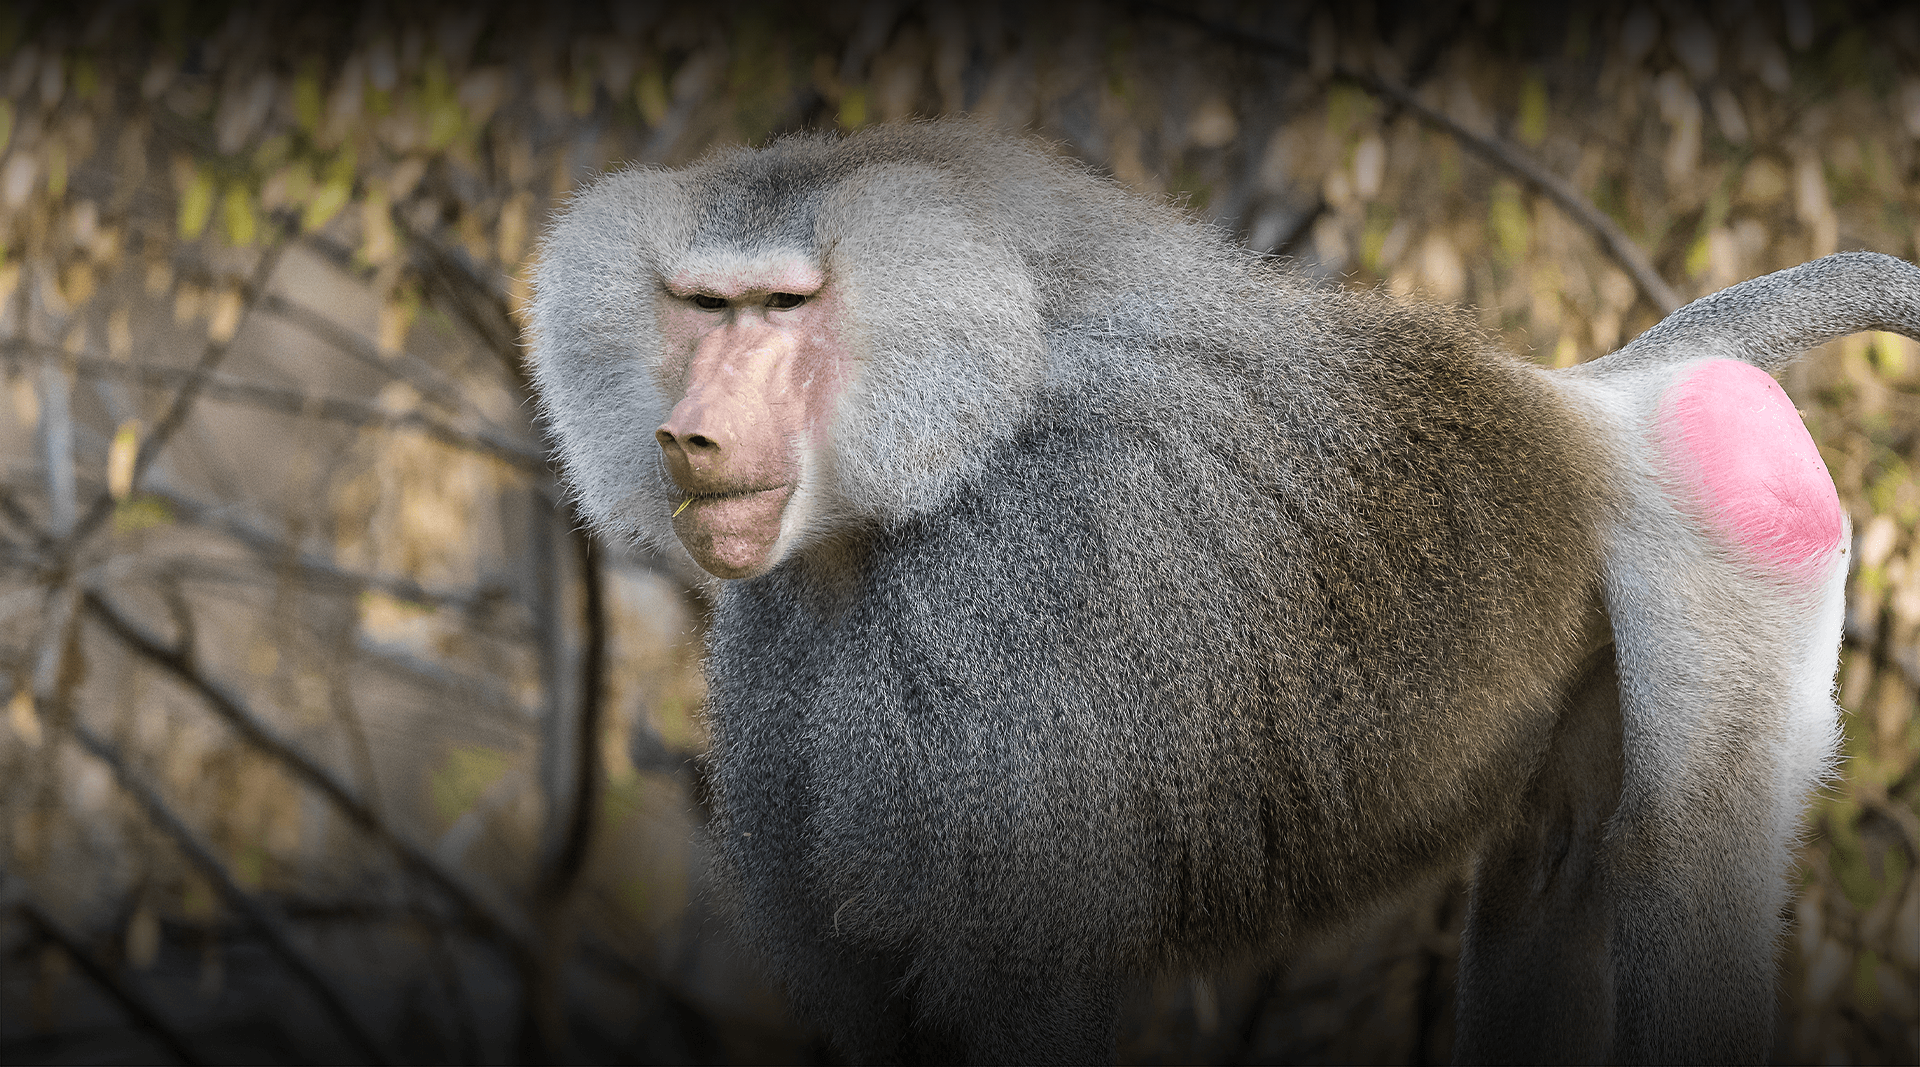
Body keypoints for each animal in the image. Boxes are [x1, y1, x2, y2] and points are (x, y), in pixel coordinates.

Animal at [525, 120, 1920, 1064]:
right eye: (701, 308)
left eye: (782, 306)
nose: (690, 436)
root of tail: (1601, 396)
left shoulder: (1006, 618)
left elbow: (1030, 992)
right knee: (1555, 868)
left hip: (1732, 527)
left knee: (1680, 854)